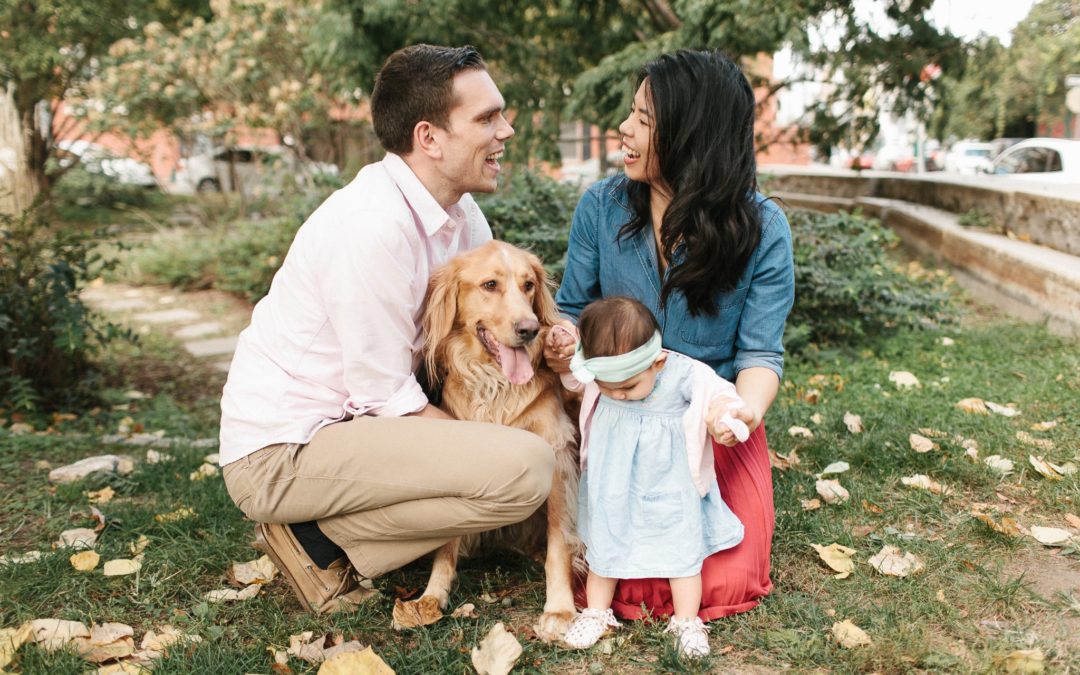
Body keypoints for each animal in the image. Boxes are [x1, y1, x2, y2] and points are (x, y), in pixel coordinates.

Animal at [416, 239, 583, 639]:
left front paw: (560, 609)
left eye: (528, 285)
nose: (531, 329)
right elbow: (446, 543)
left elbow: (559, 541)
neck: (497, 384)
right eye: (490, 285)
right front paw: (432, 594)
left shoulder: (556, 455)